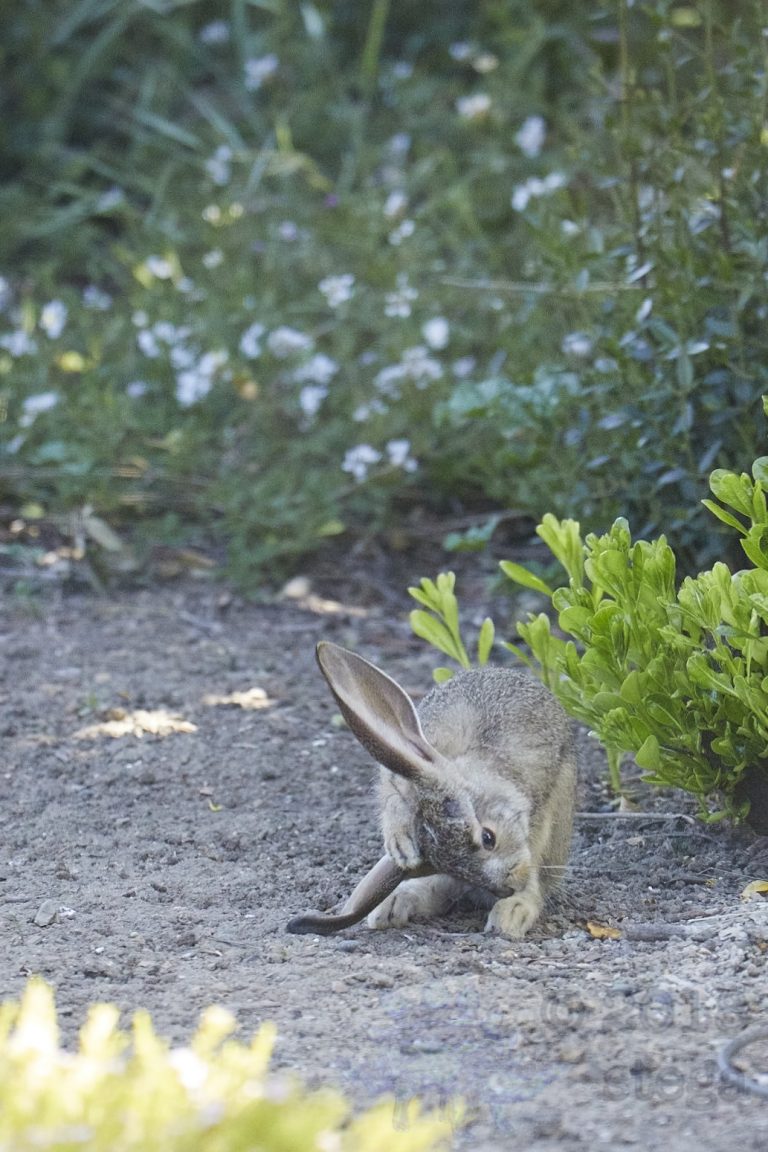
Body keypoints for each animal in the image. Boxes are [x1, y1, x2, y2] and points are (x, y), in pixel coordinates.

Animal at [312, 641, 577, 939]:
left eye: (488, 837)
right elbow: (392, 799)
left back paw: (511, 914)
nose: (506, 888)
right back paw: (393, 904)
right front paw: (400, 844)